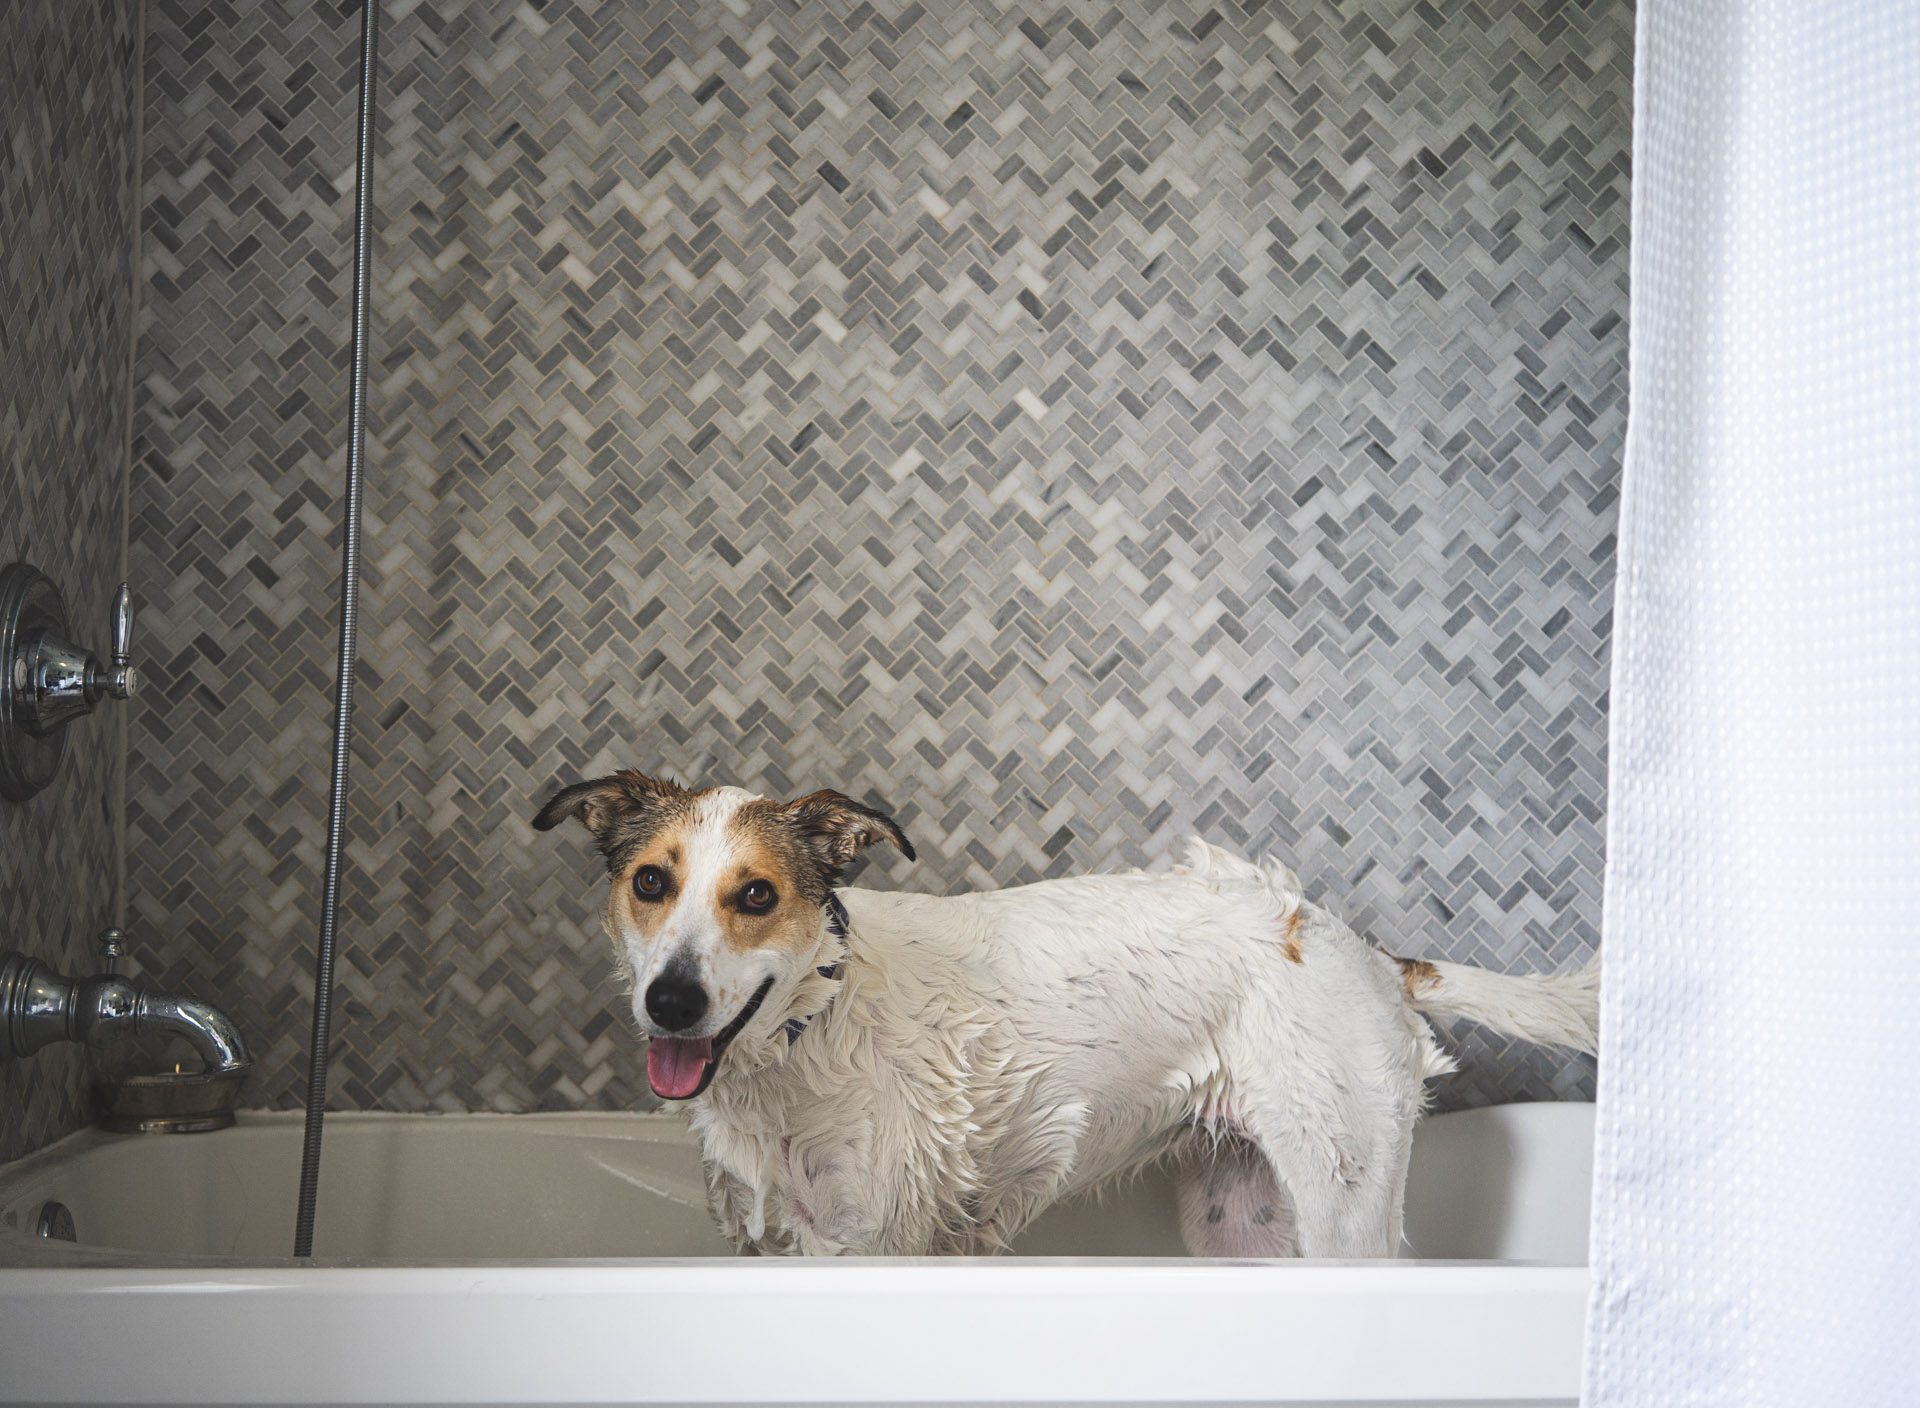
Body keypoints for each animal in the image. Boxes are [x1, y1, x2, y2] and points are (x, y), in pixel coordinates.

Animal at [533, 771, 1599, 1257]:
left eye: (756, 896)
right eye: (650, 882)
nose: (671, 1002)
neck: (810, 1028)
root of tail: (1358, 945)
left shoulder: (870, 1247)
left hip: (1345, 1208)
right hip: (1242, 1223)